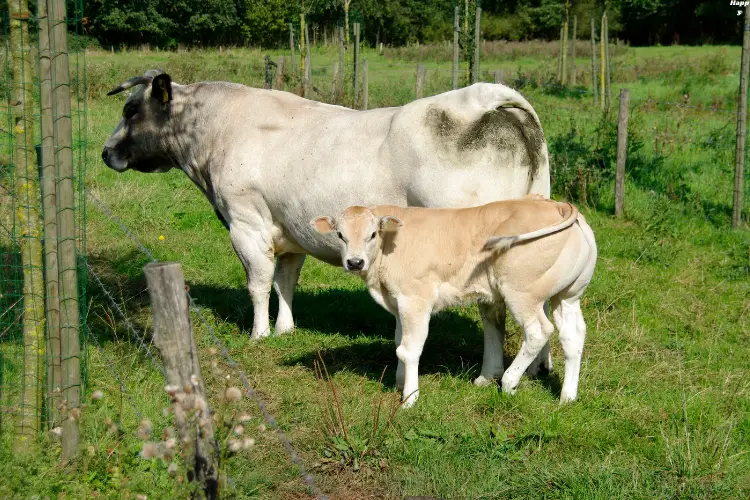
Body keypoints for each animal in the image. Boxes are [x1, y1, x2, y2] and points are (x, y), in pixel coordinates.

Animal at [101, 70, 552, 382]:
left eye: (130, 110)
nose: (105, 153)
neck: (215, 132)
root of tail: (481, 99)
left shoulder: (246, 223)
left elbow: (258, 283)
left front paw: (259, 335)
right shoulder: (289, 229)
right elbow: (285, 281)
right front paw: (285, 329)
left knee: (493, 310)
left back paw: (491, 374)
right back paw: (539, 369)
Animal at [312, 195, 600, 406]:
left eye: (372, 234)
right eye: (340, 235)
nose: (355, 262)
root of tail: (558, 205)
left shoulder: (415, 298)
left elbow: (408, 349)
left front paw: (410, 398)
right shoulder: (398, 301)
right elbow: (399, 342)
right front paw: (400, 382)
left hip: (522, 292)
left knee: (538, 331)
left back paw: (509, 383)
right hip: (569, 294)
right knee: (573, 335)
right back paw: (567, 398)